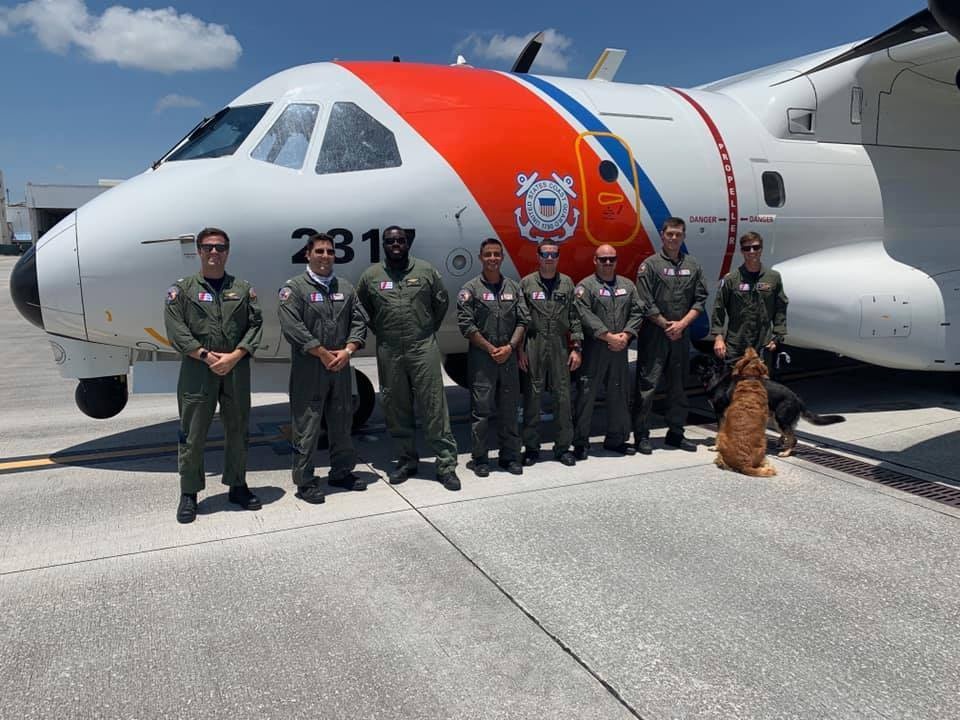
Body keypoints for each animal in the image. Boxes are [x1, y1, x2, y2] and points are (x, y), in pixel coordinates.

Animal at [712, 348, 780, 478]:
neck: (750, 378)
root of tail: (744, 464)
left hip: (722, 435)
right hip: (763, 442)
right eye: (754, 356)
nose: (749, 347)